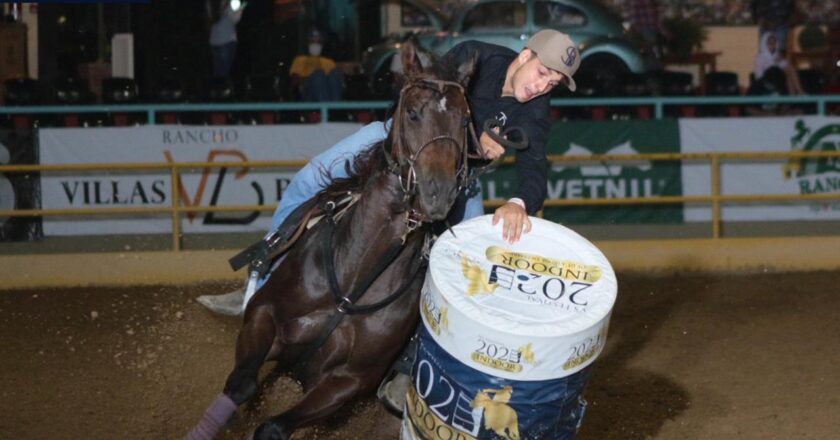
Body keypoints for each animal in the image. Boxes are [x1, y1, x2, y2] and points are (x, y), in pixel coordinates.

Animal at [188, 52, 476, 440]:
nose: (438, 191)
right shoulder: (264, 315)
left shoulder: (347, 384)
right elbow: (241, 384)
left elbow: (272, 427)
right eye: (414, 112)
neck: (353, 280)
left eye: (464, 119)